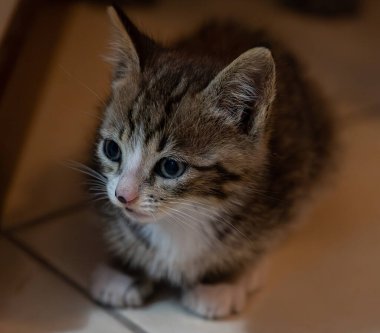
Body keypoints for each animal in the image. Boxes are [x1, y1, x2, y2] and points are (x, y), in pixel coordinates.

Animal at [88, 3, 332, 318]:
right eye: (112, 150)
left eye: (170, 167)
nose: (123, 196)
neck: (185, 214)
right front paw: (124, 269)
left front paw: (221, 279)